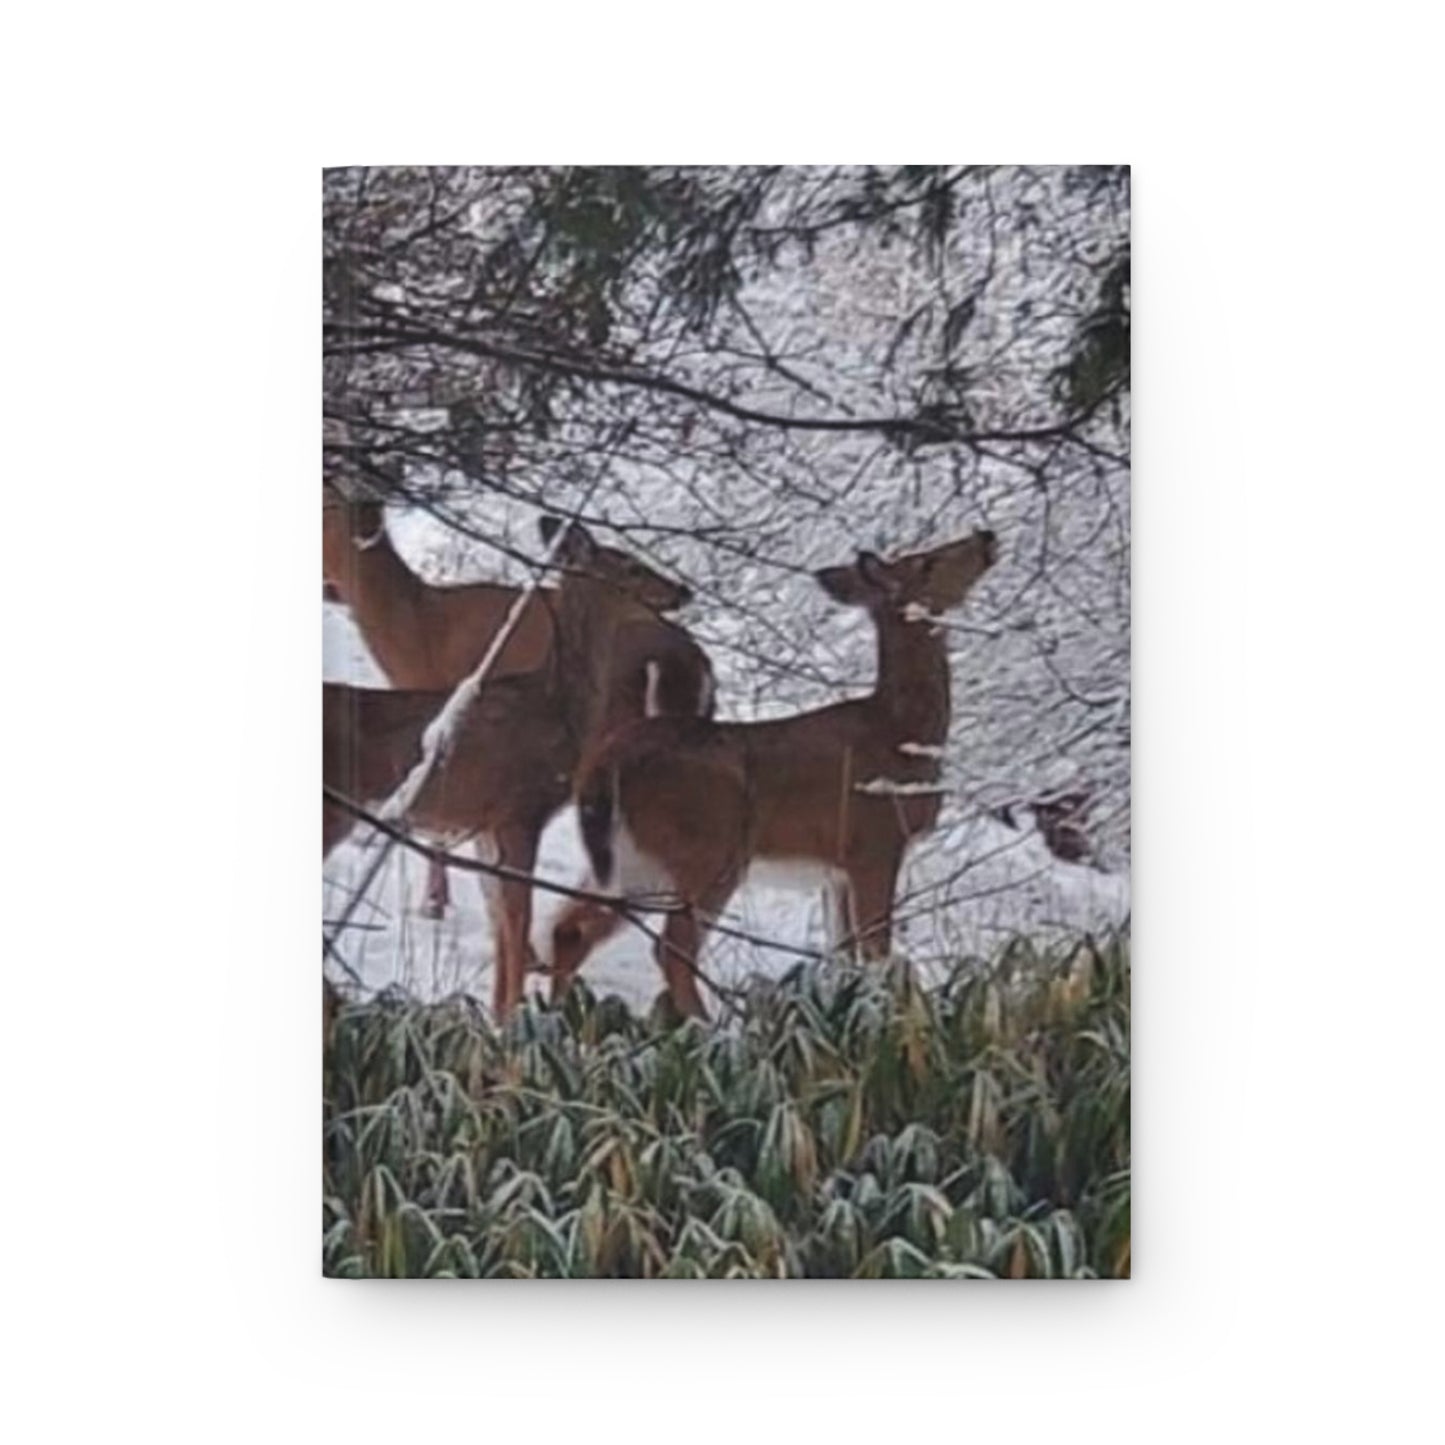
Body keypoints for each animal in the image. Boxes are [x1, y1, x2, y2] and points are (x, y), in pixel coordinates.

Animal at [324, 518, 714, 1018]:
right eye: (630, 565)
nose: (682, 589)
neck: (557, 709)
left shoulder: (489, 822)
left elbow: (504, 923)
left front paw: (498, 1015)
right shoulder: (520, 811)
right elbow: (516, 918)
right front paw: (510, 1018)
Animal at [546, 529, 998, 1018]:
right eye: (927, 563)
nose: (985, 536)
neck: (903, 733)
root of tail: (603, 767)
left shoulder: (836, 870)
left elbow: (845, 954)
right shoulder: (874, 845)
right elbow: (878, 953)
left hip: (634, 862)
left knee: (569, 929)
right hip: (708, 851)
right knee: (672, 948)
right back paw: (710, 1025)